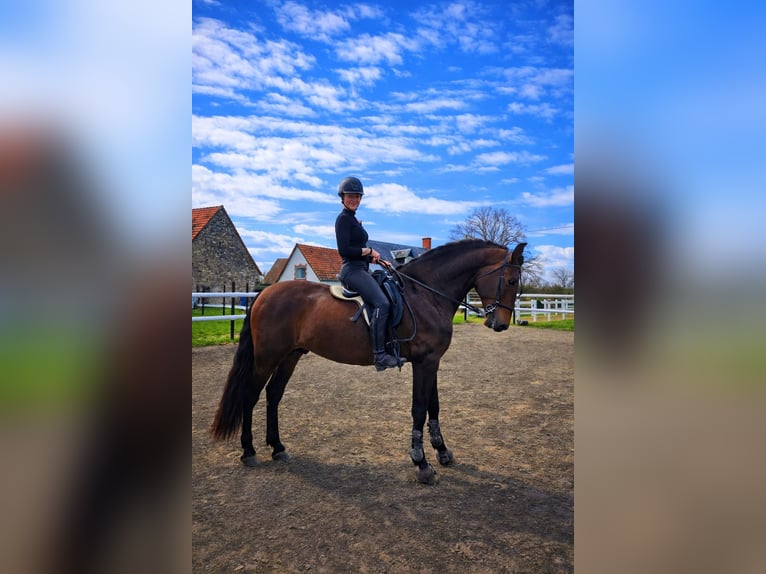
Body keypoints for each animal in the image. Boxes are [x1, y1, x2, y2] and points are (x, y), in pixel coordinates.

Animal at [211, 239, 527, 484]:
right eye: (511, 281)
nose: (500, 324)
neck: (427, 293)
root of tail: (264, 293)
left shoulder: (432, 360)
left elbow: (434, 406)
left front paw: (443, 452)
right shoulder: (424, 362)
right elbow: (419, 410)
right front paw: (422, 464)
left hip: (291, 355)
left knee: (274, 395)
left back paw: (277, 447)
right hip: (267, 358)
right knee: (250, 396)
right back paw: (249, 452)